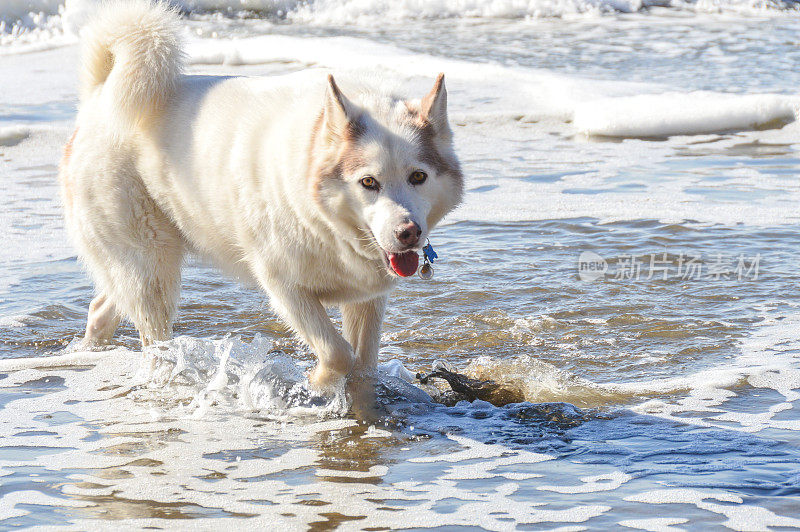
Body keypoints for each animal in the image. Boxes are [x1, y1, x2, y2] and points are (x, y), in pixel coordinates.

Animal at [59, 2, 462, 388]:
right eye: (368, 182)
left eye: (418, 177)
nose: (408, 233)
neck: (325, 224)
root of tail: (97, 98)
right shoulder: (285, 288)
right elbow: (338, 354)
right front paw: (316, 383)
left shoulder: (367, 299)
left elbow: (362, 364)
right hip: (151, 267)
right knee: (153, 336)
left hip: (141, 266)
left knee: (101, 309)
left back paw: (87, 354)